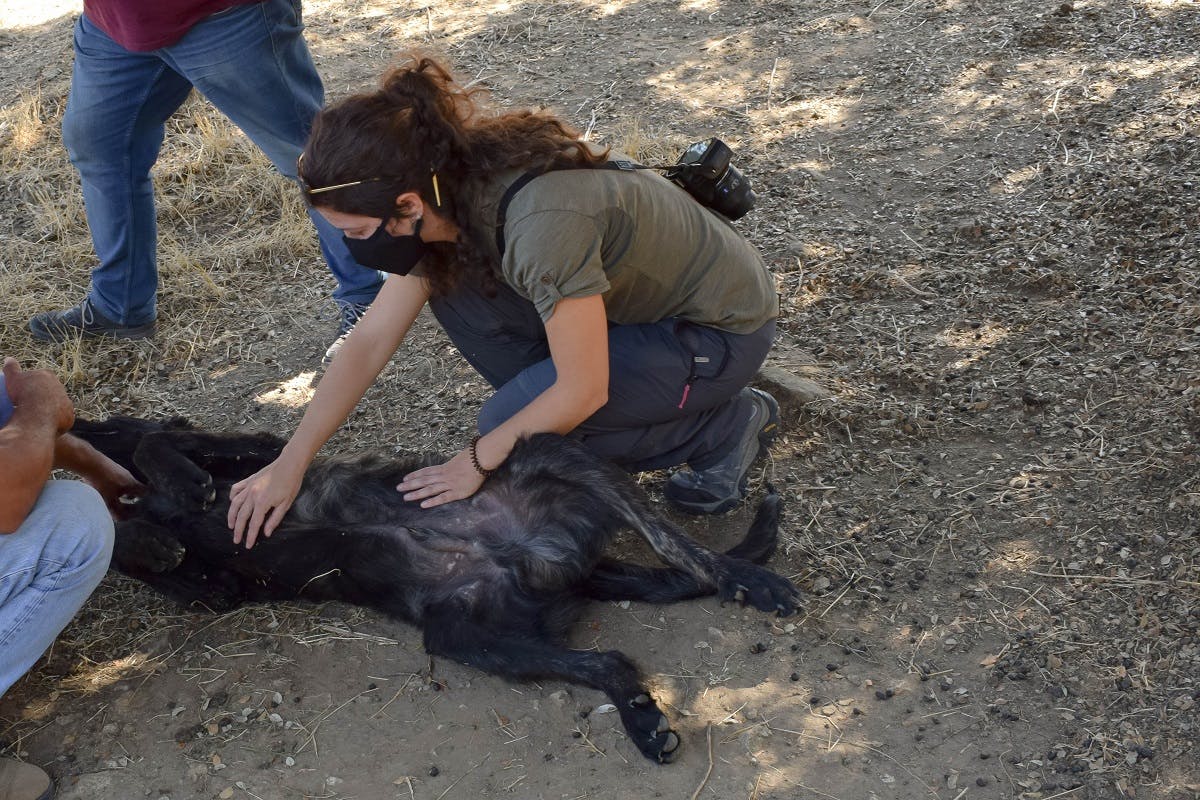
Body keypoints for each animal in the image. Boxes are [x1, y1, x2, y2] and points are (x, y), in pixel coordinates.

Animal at [68, 419, 796, 762]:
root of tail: (529, 556)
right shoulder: (215, 585)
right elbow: (134, 540)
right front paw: (143, 534)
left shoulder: (263, 456)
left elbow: (162, 443)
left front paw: (170, 488)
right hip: (461, 631)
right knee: (617, 646)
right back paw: (641, 718)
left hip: (554, 453)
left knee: (685, 552)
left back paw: (751, 577)